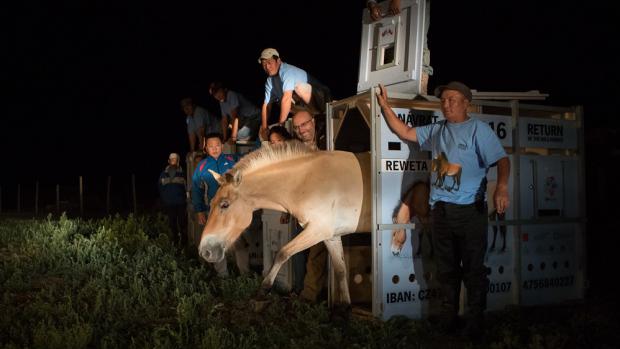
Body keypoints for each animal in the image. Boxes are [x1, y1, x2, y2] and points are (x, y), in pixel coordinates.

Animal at [200, 139, 368, 308]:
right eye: (211, 202)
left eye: (224, 205)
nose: (204, 252)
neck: (306, 181)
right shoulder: (331, 236)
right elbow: (340, 270)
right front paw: (345, 308)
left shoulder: (317, 230)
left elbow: (282, 253)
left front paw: (263, 289)